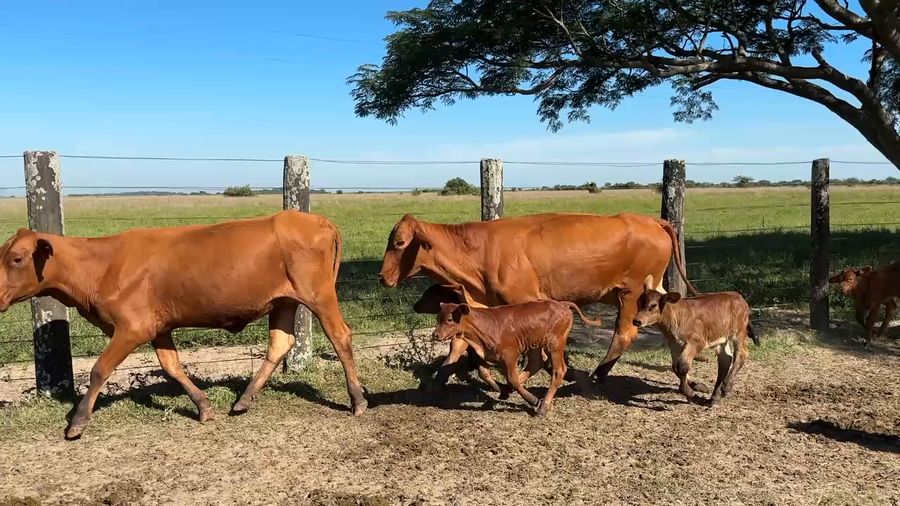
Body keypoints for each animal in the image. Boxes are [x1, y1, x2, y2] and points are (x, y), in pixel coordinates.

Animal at [0, 210, 367, 439]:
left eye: (17, 258)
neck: (101, 266)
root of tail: (314, 219)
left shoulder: (131, 328)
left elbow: (99, 370)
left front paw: (77, 422)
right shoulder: (158, 328)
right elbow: (172, 366)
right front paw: (203, 407)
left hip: (318, 295)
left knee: (340, 335)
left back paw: (358, 400)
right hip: (284, 302)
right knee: (280, 344)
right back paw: (243, 400)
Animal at [378, 212, 699, 388]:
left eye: (399, 242)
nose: (382, 277)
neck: (479, 251)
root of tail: (650, 220)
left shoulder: (525, 302)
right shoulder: (480, 304)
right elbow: (460, 345)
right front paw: (439, 378)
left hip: (631, 294)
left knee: (625, 333)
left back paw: (598, 373)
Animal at [431, 299, 603, 415]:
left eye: (450, 319)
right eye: (438, 318)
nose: (435, 335)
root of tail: (562, 304)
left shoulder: (510, 355)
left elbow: (512, 379)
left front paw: (534, 400)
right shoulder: (488, 355)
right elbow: (484, 373)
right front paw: (501, 390)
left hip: (554, 344)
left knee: (558, 370)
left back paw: (543, 405)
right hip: (534, 344)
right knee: (535, 364)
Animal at [632, 275, 757, 407]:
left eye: (653, 306)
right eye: (638, 303)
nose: (636, 321)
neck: (677, 317)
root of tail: (737, 295)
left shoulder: (696, 342)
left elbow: (682, 366)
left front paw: (688, 392)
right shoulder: (674, 346)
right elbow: (675, 367)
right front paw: (691, 390)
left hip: (738, 332)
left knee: (742, 354)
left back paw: (726, 387)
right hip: (721, 339)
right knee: (725, 360)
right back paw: (715, 397)